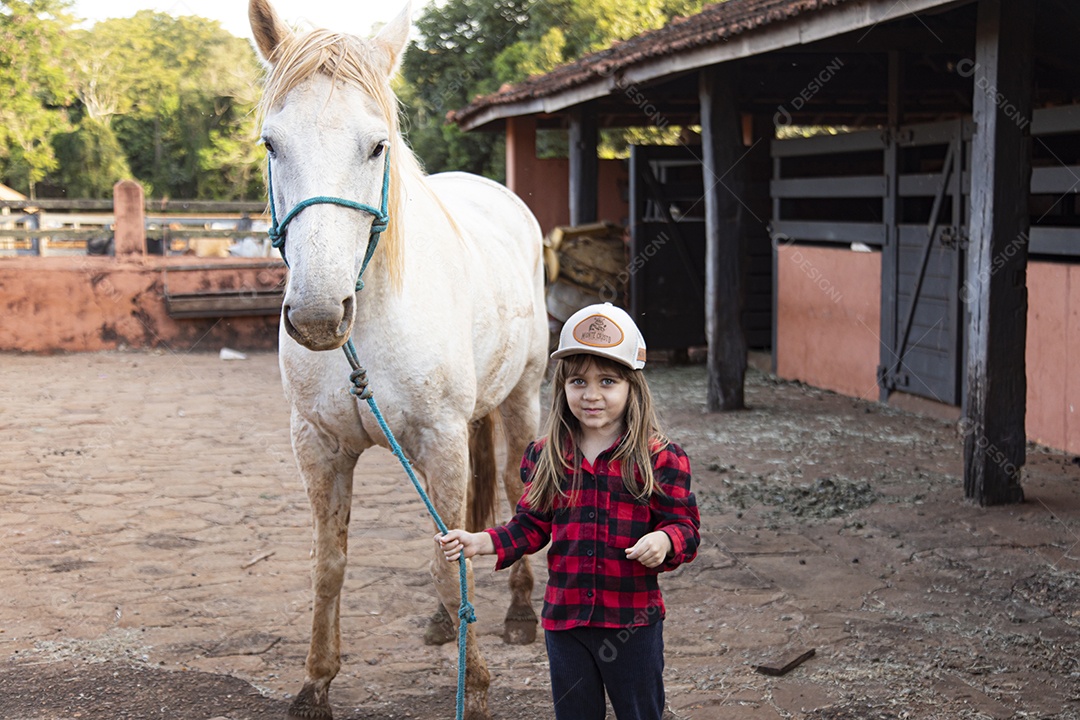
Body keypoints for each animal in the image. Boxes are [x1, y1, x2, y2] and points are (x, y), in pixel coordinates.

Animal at [248, 1, 547, 718]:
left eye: (377, 145)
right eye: (272, 144)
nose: (318, 315)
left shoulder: (440, 438)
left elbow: (449, 563)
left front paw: (479, 687)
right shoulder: (319, 446)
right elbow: (330, 563)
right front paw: (316, 683)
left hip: (522, 395)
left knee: (514, 488)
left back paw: (521, 612)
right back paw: (444, 621)